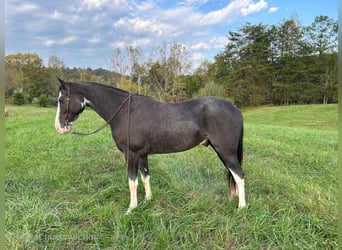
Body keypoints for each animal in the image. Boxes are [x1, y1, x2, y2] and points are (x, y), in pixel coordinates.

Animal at [54, 77, 246, 213]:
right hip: (223, 152)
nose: (59, 127)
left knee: (239, 175)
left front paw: (132, 208)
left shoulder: (130, 154)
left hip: (225, 152)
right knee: (232, 174)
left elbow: (132, 181)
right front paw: (148, 199)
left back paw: (241, 207)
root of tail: (234, 109)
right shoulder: (142, 155)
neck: (125, 113)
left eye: (61, 100)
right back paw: (233, 199)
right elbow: (145, 176)